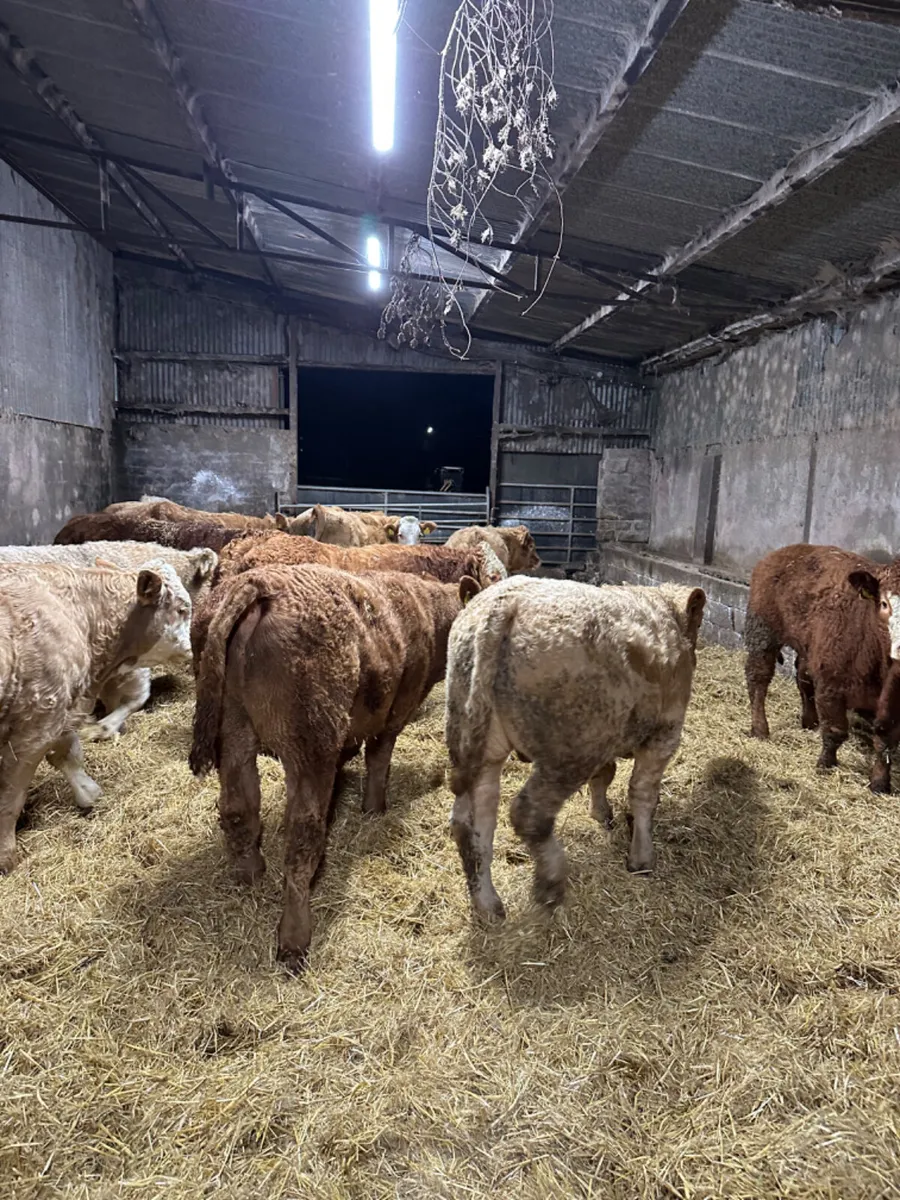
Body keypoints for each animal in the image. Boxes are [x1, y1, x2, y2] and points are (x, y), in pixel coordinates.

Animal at [0, 560, 192, 872]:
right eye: (182, 609)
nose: (193, 647)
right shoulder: (37, 722)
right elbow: (10, 796)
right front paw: (6, 858)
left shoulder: (60, 711)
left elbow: (69, 754)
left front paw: (88, 792)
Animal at [189, 563, 480, 970]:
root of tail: (258, 583)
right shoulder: (396, 711)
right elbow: (379, 757)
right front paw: (374, 808)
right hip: (310, 747)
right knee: (302, 840)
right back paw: (294, 941)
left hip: (232, 733)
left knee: (238, 809)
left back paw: (250, 873)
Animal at [444, 577, 705, 919]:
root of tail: (506, 602)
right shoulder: (664, 732)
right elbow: (642, 793)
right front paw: (641, 858)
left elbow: (605, 774)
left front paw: (602, 813)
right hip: (570, 750)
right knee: (528, 814)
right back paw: (551, 882)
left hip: (477, 742)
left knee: (470, 824)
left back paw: (487, 904)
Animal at [745, 543, 900, 792]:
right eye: (885, 604)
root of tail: (790, 549)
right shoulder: (831, 682)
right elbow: (835, 730)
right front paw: (826, 764)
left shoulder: (895, 701)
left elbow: (885, 740)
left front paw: (879, 782)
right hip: (763, 631)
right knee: (758, 678)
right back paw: (760, 729)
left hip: (807, 648)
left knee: (803, 678)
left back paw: (809, 721)